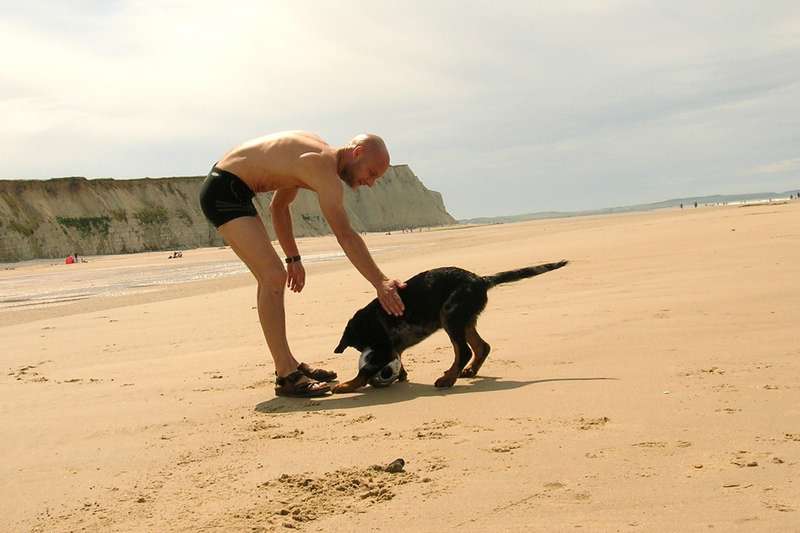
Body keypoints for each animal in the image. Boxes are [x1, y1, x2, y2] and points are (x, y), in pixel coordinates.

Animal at [332, 260, 568, 392]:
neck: (367, 323)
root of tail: (481, 280)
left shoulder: (383, 349)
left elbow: (364, 371)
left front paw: (346, 385)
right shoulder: (392, 349)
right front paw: (402, 375)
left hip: (450, 316)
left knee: (463, 350)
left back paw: (448, 379)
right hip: (464, 320)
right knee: (481, 346)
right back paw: (468, 371)